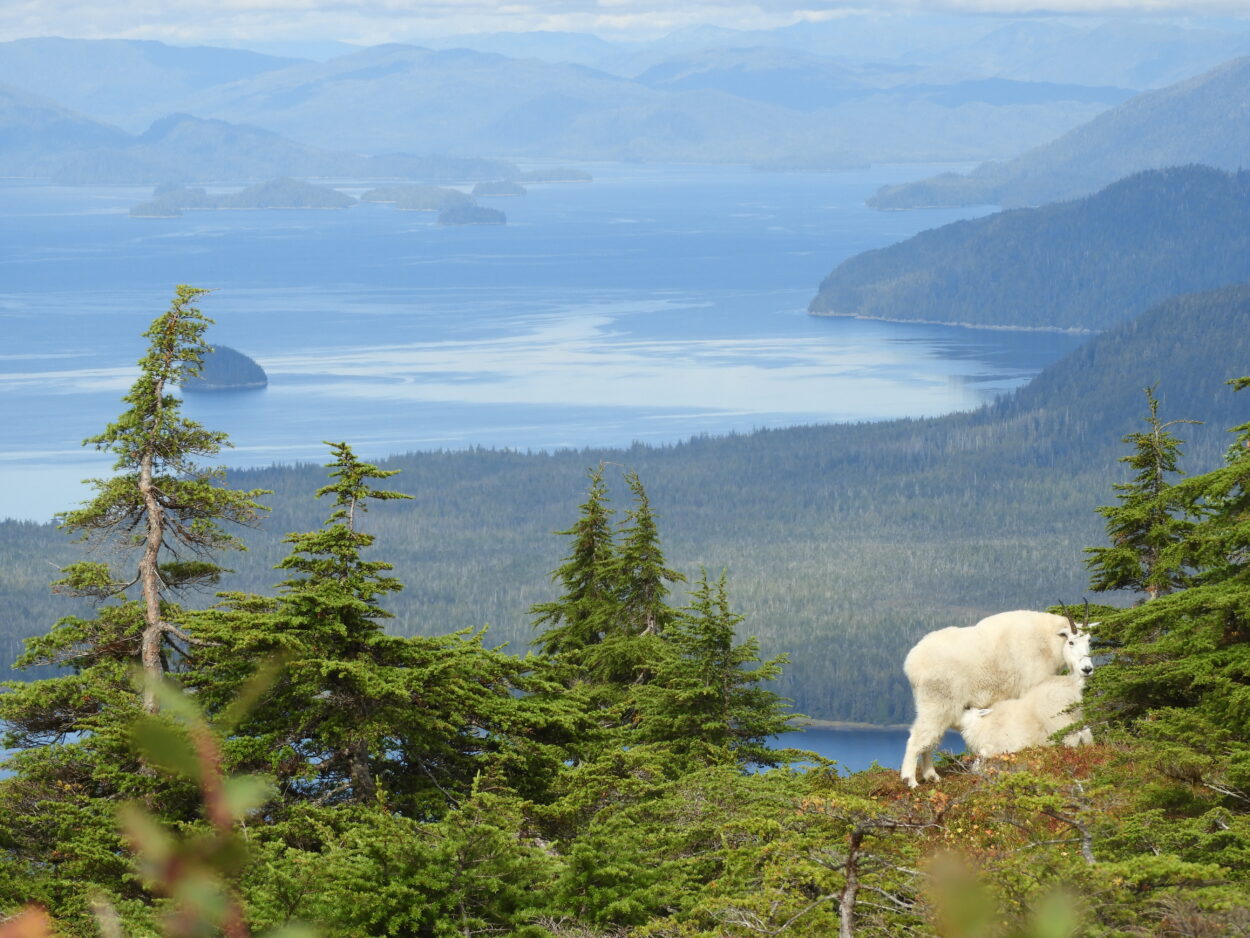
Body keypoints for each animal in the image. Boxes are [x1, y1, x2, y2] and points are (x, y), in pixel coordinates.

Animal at [955, 627, 1095, 760]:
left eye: (968, 709)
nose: (965, 706)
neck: (981, 724)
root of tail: (1073, 683)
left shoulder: (1004, 745)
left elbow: (983, 754)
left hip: (1060, 721)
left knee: (1073, 738)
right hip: (1077, 716)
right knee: (1086, 734)